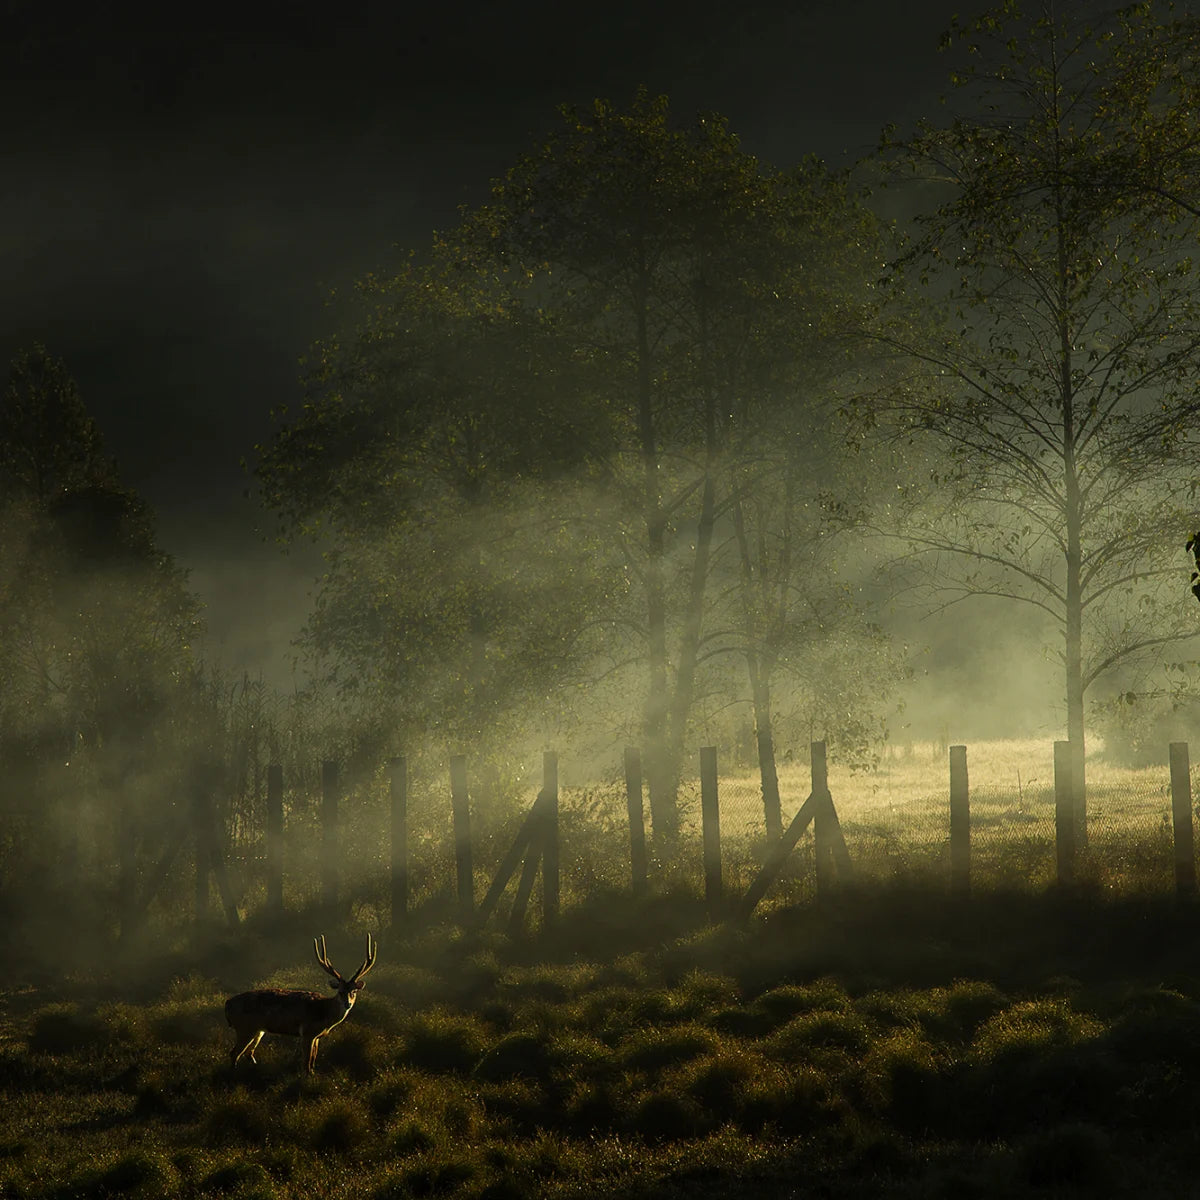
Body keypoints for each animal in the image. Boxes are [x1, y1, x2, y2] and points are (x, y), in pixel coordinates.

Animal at [225, 934, 377, 1074]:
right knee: (234, 1053)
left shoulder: (317, 1037)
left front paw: (313, 1074)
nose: (347, 1004)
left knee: (248, 1053)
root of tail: (227, 1004)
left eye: (354, 991)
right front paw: (307, 1077)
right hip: (245, 1027)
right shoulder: (307, 1032)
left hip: (258, 1030)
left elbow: (314, 1059)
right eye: (340, 991)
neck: (324, 1013)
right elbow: (307, 1061)